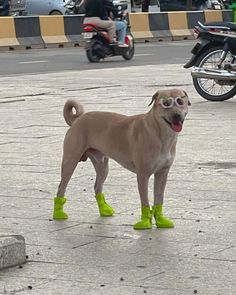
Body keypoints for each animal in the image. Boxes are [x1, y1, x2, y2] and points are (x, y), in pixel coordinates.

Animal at [53, 89, 190, 230]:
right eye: (166, 104)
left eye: (180, 101)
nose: (176, 115)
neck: (159, 133)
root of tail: (77, 119)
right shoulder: (143, 175)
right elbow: (145, 201)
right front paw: (145, 222)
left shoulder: (162, 173)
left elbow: (159, 199)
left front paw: (161, 220)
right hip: (70, 161)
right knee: (61, 187)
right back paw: (58, 213)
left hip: (102, 166)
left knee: (97, 187)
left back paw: (104, 210)